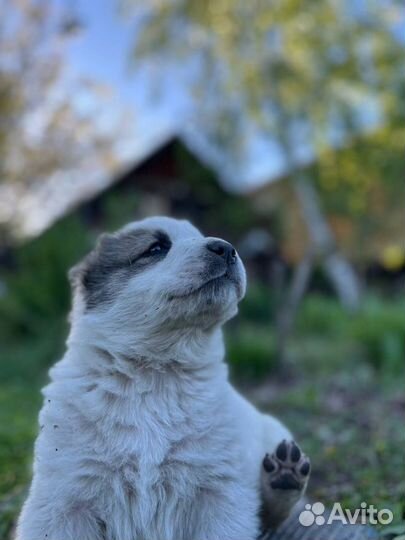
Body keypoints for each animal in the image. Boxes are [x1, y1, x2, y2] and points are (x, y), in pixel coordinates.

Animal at [15, 216, 310, 540]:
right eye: (156, 248)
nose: (226, 248)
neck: (156, 371)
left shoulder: (219, 494)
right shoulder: (64, 499)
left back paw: (284, 478)